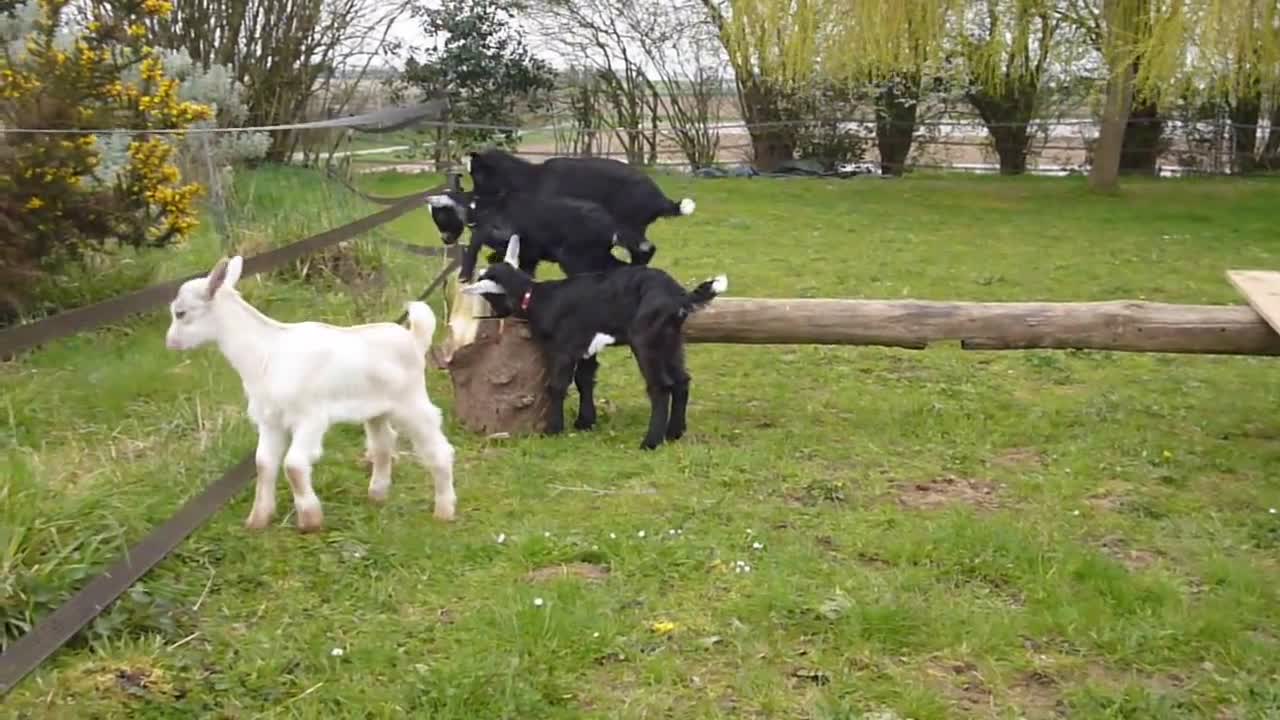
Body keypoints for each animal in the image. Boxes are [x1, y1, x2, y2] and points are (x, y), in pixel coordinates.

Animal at [427, 185, 650, 281]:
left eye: (440, 216)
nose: (445, 239)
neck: (483, 207)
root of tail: (610, 224)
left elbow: (475, 245)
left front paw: (464, 276)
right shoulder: (529, 254)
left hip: (577, 258)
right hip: (595, 255)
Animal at [460, 235, 727, 448]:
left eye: (487, 294)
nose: (495, 315)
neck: (537, 297)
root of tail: (678, 296)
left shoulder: (564, 348)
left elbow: (557, 385)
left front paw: (553, 429)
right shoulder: (587, 347)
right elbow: (585, 380)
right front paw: (585, 422)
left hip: (646, 339)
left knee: (660, 387)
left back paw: (650, 442)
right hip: (671, 339)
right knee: (682, 381)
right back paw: (674, 433)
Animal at [465, 147, 696, 262]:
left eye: (478, 175)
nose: (473, 200)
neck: (529, 179)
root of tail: (660, 198)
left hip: (628, 226)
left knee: (643, 251)